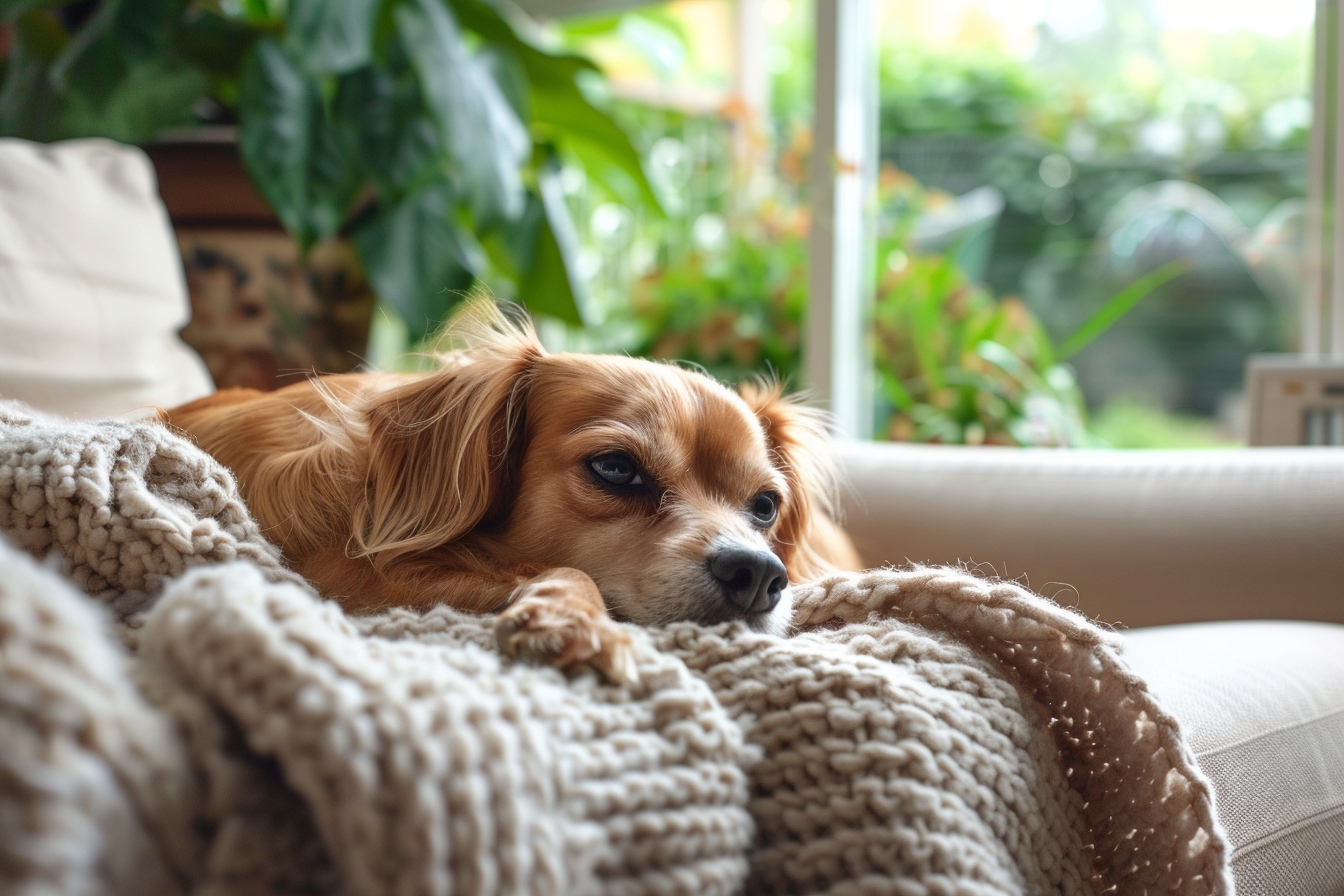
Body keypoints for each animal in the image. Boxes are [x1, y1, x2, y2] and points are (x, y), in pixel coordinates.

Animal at [168, 300, 860, 679]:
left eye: (765, 506)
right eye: (616, 469)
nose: (759, 574)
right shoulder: (344, 575)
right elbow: (556, 569)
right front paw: (574, 617)